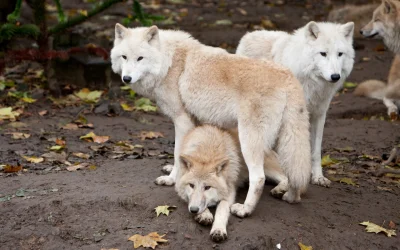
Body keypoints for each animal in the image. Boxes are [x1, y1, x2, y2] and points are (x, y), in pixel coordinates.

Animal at [110, 24, 312, 218]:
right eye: (124, 57)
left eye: (140, 58)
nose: (126, 78)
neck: (169, 63)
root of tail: (288, 77)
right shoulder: (198, 122)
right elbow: (191, 155)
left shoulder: (182, 121)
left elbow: (177, 152)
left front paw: (171, 179)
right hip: (283, 141)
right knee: (291, 171)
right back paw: (289, 195)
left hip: (250, 140)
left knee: (259, 177)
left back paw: (245, 209)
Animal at [236, 20, 354, 188]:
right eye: (323, 53)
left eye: (340, 54)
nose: (335, 76)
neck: (312, 83)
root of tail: (250, 34)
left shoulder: (319, 114)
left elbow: (316, 151)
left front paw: (318, 177)